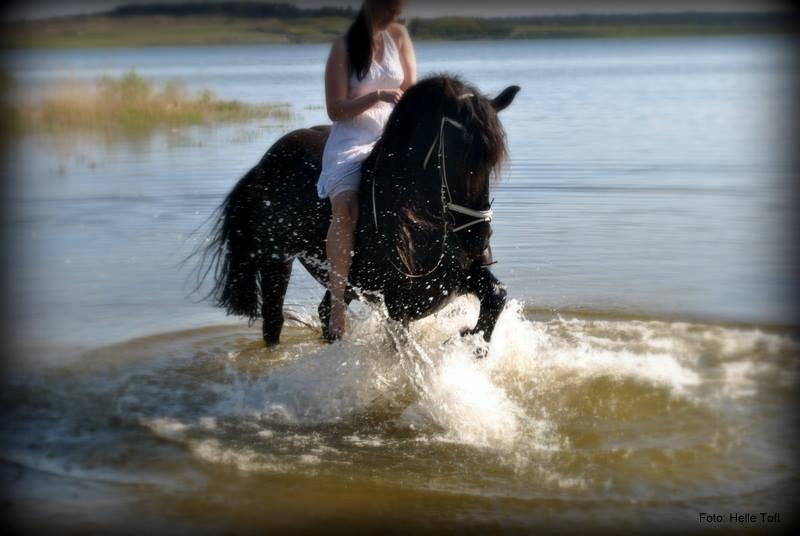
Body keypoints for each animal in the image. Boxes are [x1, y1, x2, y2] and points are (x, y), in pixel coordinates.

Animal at [198, 75, 520, 346]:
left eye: (492, 163)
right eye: (460, 158)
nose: (479, 240)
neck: (419, 220)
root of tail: (263, 163)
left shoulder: (459, 275)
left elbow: (497, 294)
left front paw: (471, 341)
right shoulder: (398, 304)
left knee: (327, 311)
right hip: (276, 258)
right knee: (274, 319)